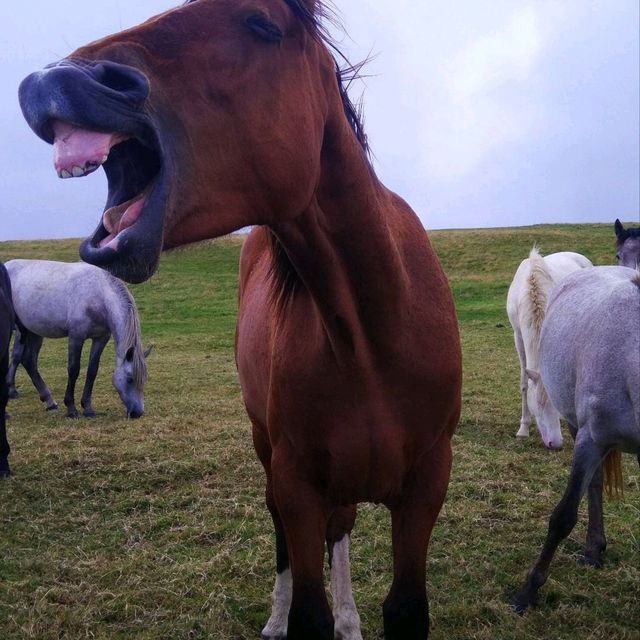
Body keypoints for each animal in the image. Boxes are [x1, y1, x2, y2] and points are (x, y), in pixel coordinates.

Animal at [5, 260, 150, 420]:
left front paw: (87, 408)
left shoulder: (100, 339)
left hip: (34, 332)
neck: (99, 296)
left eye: (144, 379)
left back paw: (49, 401)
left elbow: (92, 371)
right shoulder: (76, 337)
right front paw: (71, 408)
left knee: (28, 361)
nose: (137, 413)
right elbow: (74, 370)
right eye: (130, 379)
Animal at [510, 266, 640, 616]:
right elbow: (563, 516)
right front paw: (527, 591)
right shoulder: (589, 439)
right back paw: (593, 548)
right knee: (593, 485)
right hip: (577, 428)